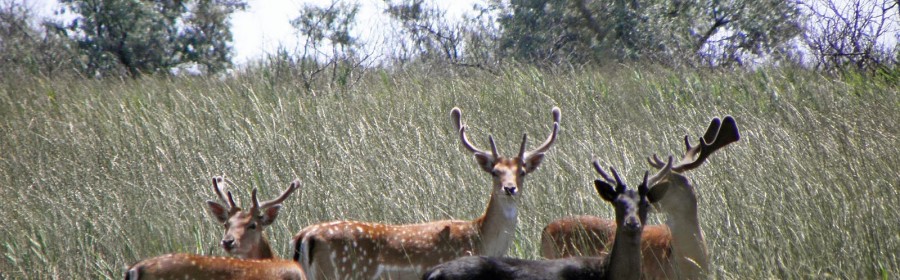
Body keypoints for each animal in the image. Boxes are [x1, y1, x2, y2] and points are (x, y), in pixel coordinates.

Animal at [294, 106, 564, 278]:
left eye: (523, 171)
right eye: (495, 172)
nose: (510, 188)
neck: (480, 240)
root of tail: (306, 236)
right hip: (343, 272)